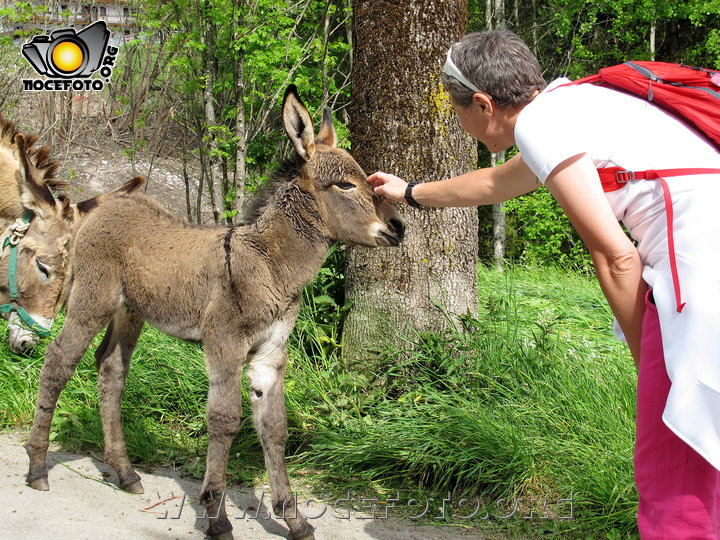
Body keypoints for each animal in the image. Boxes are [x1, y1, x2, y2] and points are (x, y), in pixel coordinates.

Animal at [25, 85, 404, 540]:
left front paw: (292, 518)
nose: (399, 227)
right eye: (346, 184)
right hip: (92, 301)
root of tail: (104, 207)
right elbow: (224, 419)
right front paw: (216, 514)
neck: (268, 262)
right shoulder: (224, 342)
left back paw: (126, 473)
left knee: (111, 368)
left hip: (130, 312)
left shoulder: (270, 353)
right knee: (58, 361)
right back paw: (37, 468)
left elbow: (274, 427)